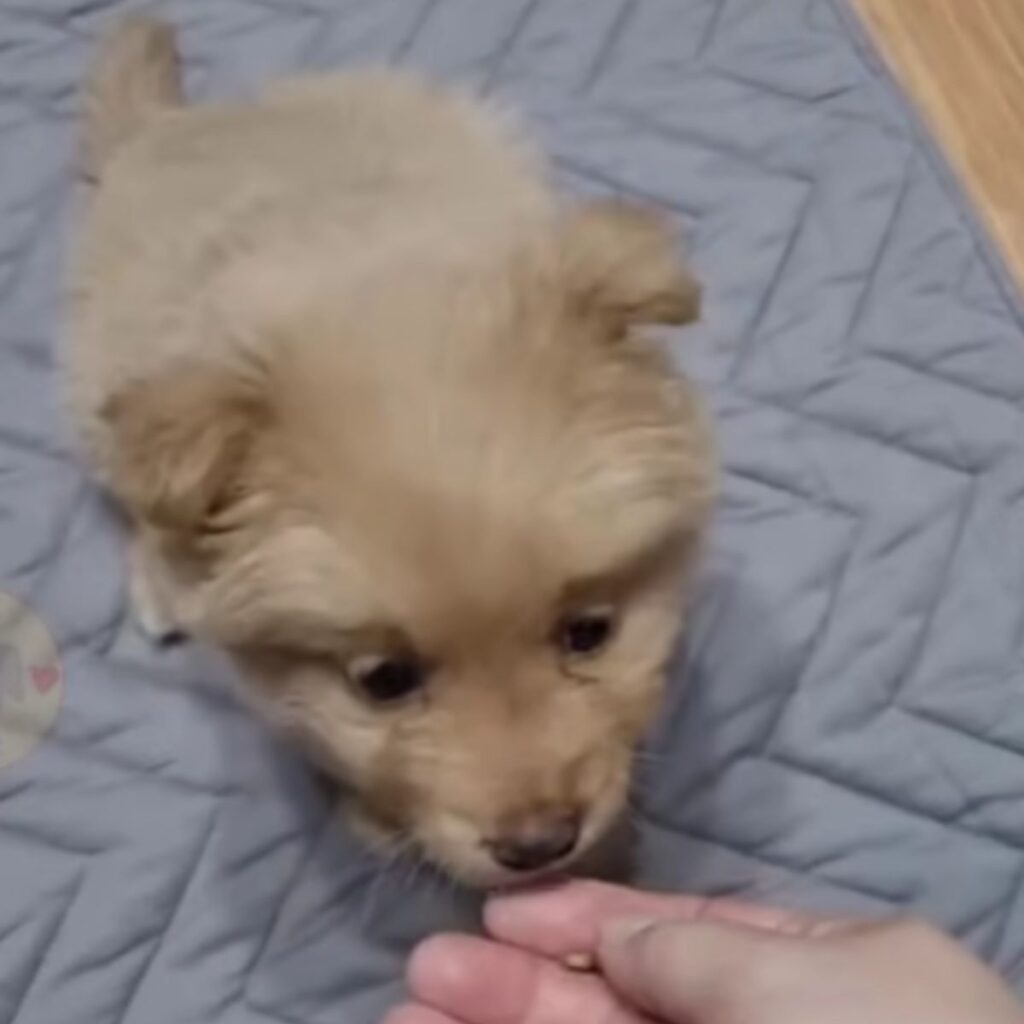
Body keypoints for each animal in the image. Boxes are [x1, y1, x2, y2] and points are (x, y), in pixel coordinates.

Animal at [68, 16, 716, 884]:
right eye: (384, 682)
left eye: (590, 632)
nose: (539, 843)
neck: (367, 285)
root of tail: (172, 123)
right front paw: (382, 823)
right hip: (104, 380)